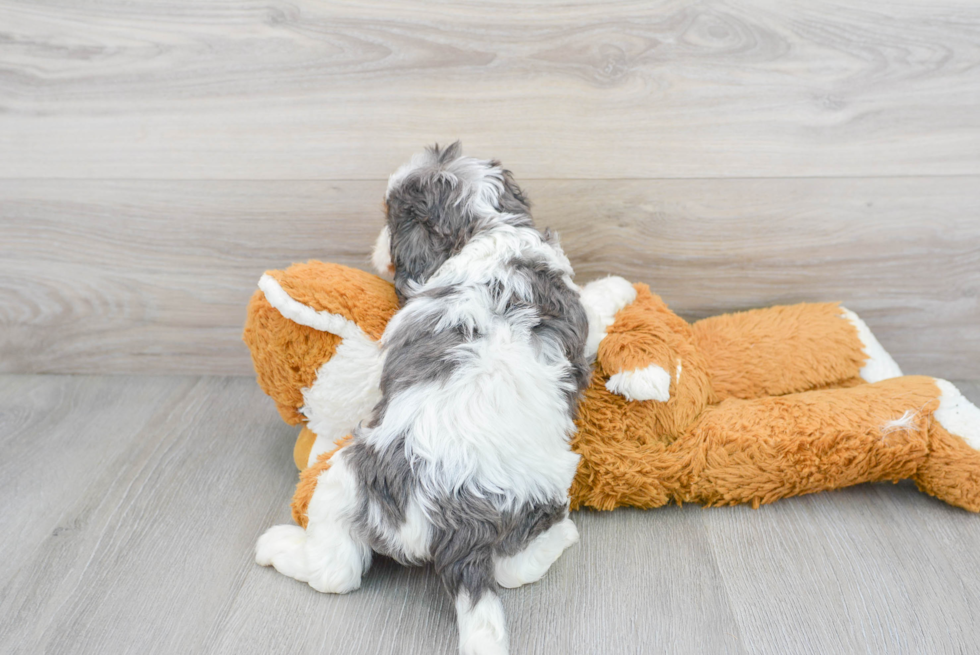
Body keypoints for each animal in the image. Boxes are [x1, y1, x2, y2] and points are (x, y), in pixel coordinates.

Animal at [256, 144, 584, 655]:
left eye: (391, 220)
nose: (376, 246)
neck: (491, 229)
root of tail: (461, 523)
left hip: (346, 481)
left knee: (335, 571)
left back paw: (280, 548)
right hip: (543, 491)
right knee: (512, 569)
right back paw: (562, 535)